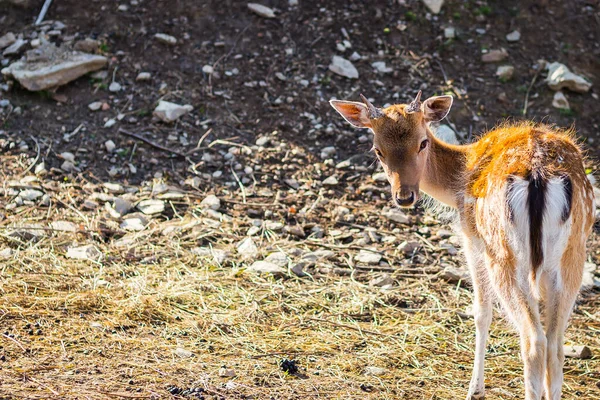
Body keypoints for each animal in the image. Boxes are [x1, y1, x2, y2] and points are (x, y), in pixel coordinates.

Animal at [330, 91, 596, 400]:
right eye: (377, 150)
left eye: (423, 142)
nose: (404, 196)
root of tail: (539, 176)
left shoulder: (472, 240)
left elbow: (481, 312)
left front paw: (475, 389)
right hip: (573, 254)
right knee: (555, 345)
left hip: (503, 253)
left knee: (533, 341)